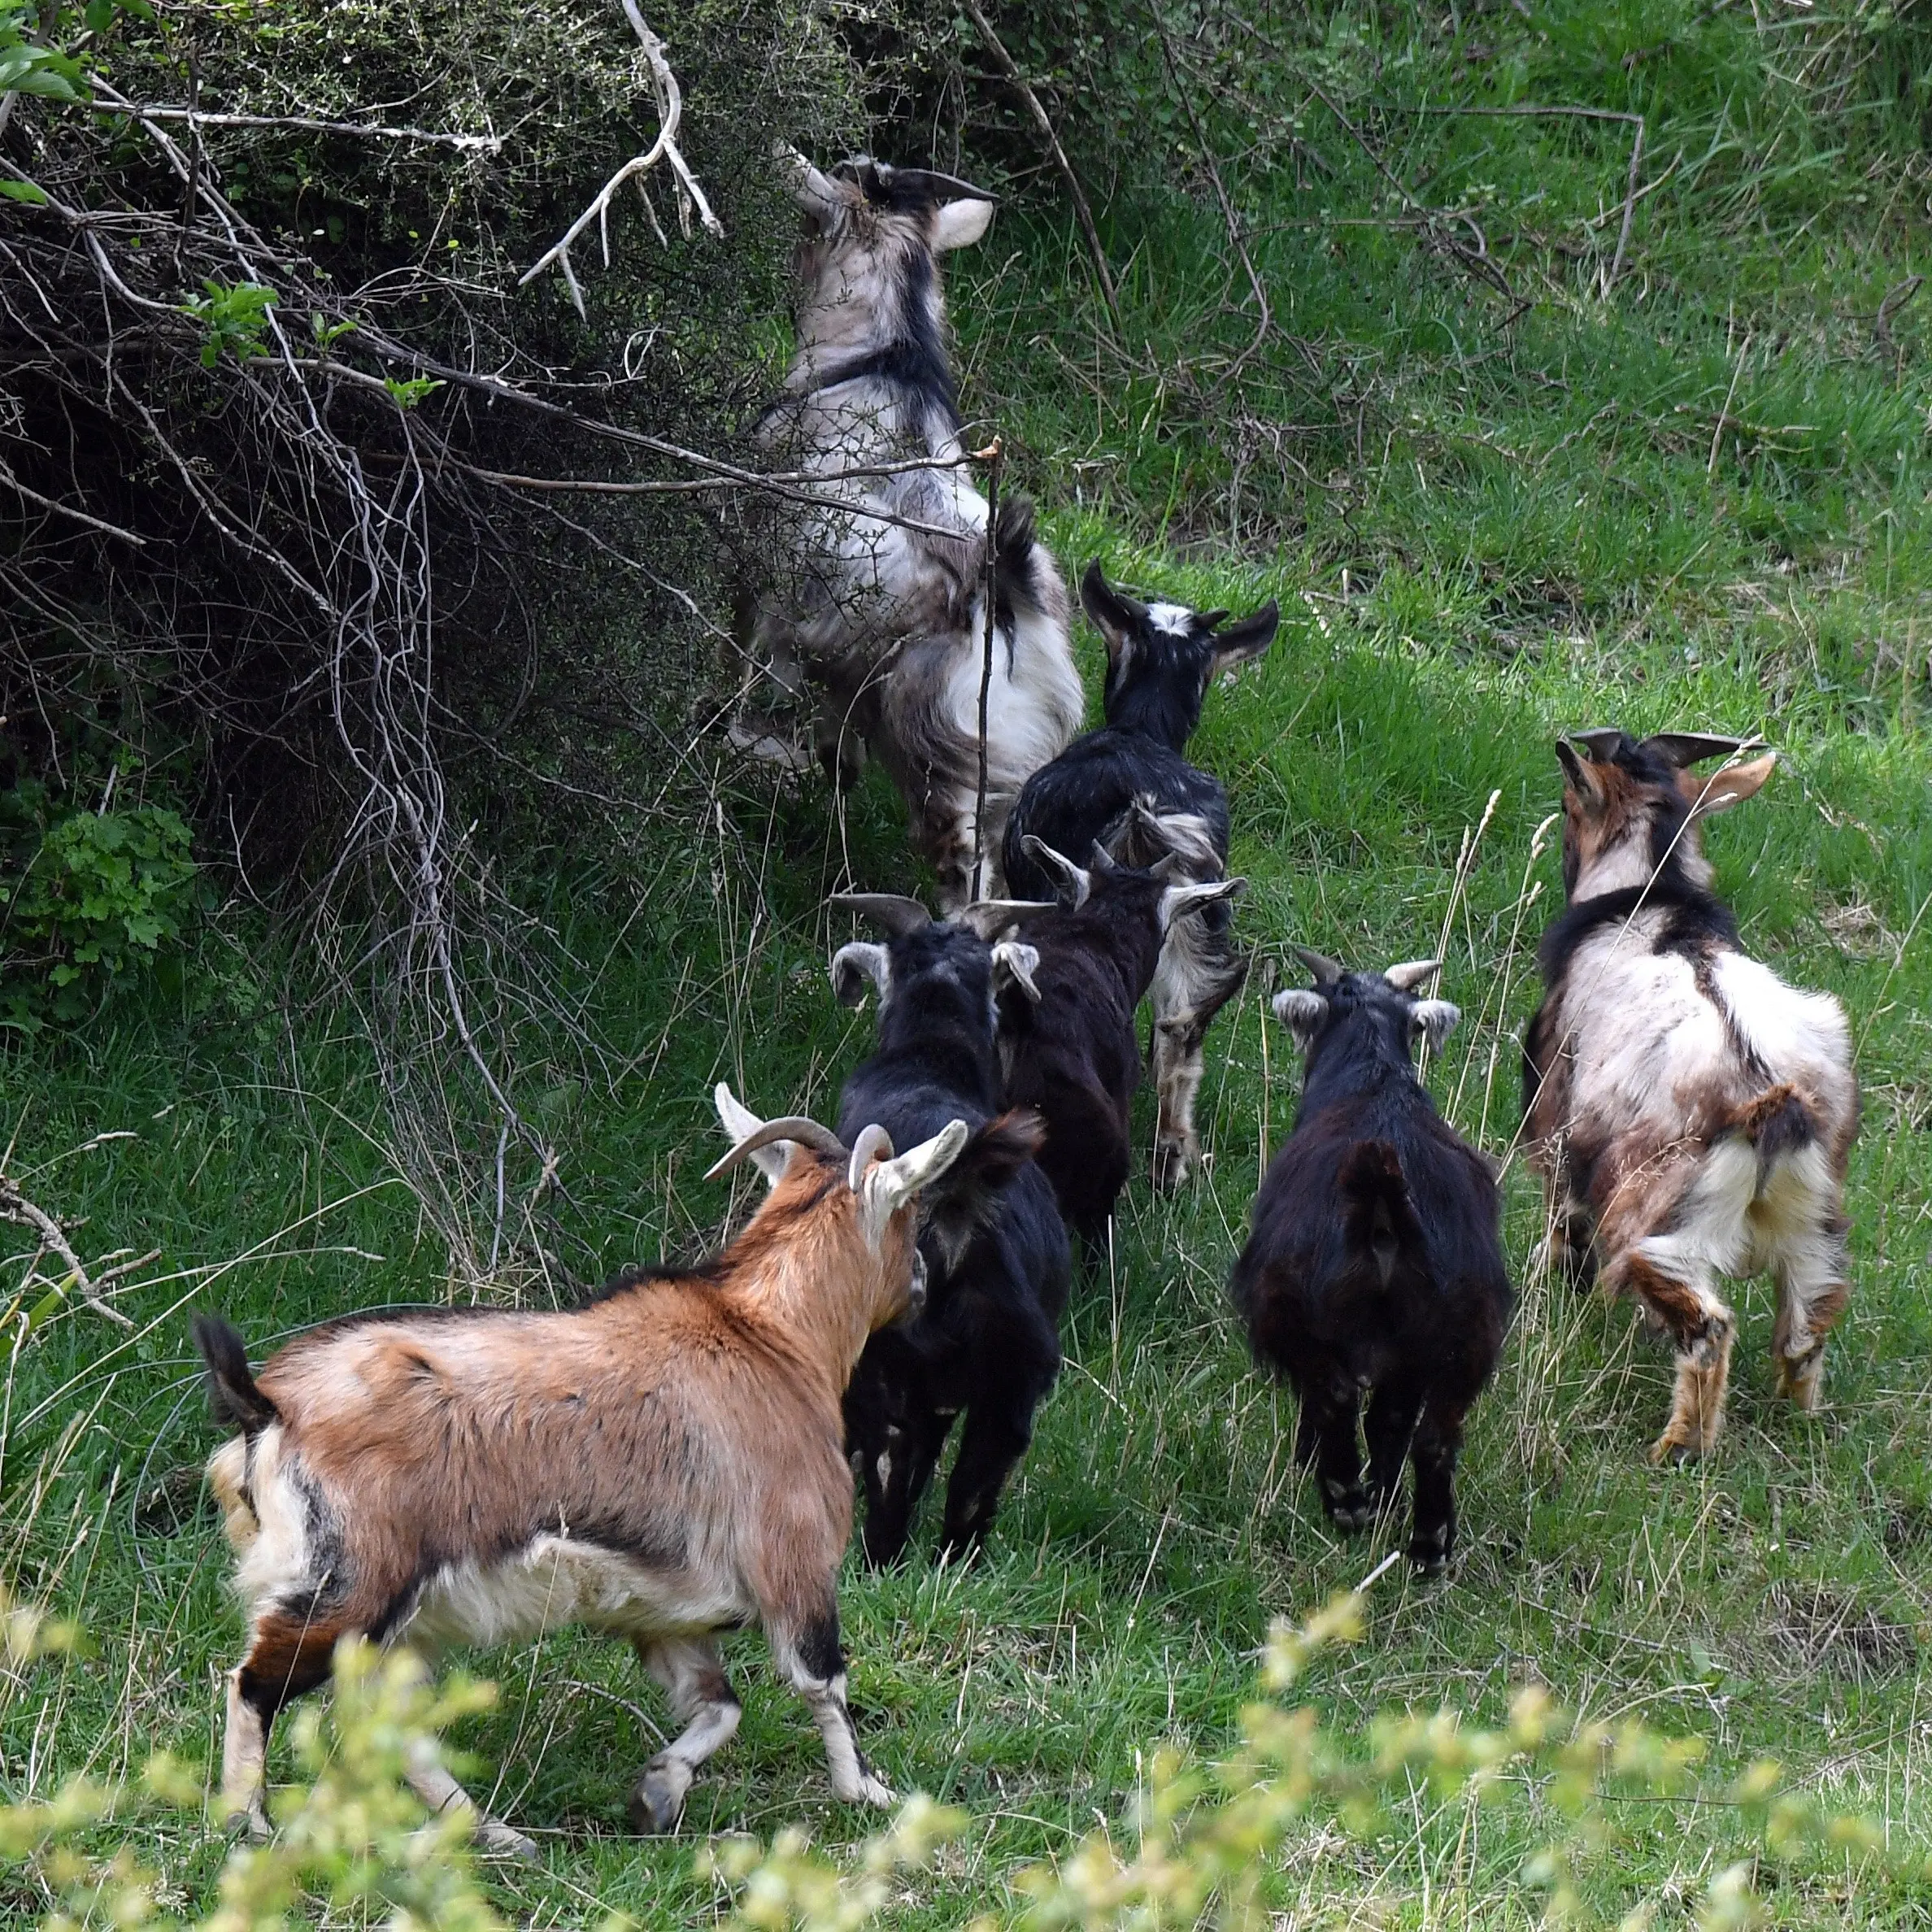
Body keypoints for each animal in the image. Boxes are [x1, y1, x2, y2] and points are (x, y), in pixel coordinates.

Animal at [193, 1090, 981, 1856]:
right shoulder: (795, 1559)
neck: (772, 1337)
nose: (920, 1283)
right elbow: (822, 1681)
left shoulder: (670, 1611)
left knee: (379, 1717)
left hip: (387, 1615)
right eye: (911, 1214)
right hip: (348, 1583)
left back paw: (493, 1832)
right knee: (255, 1684)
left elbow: (718, 1704)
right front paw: (867, 1792)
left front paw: (656, 1794)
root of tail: (271, 1407)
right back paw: (246, 1826)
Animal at [745, 152, 1083, 908]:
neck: (882, 359)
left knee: (967, 874)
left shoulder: (760, 580)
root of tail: (1011, 598)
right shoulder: (840, 656)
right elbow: (834, 735)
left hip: (940, 755)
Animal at [1231, 951, 1509, 1572]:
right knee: (1432, 1436)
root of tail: (1381, 1193)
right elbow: (1392, 1422)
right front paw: (1386, 1495)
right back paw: (1426, 1540)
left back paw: (1346, 1500)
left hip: (1284, 1306)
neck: (1373, 1077)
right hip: (1465, 1331)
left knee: (1332, 1395)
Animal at [1522, 729, 1858, 1463]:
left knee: (1706, 1322)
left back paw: (1680, 1448)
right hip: (1816, 1215)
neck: (1650, 903)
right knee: (1812, 1313)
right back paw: (1795, 1418)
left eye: (1566, 806)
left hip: (1665, 1213)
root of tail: (1772, 1101)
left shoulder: (1559, 1114)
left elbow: (1563, 1211)